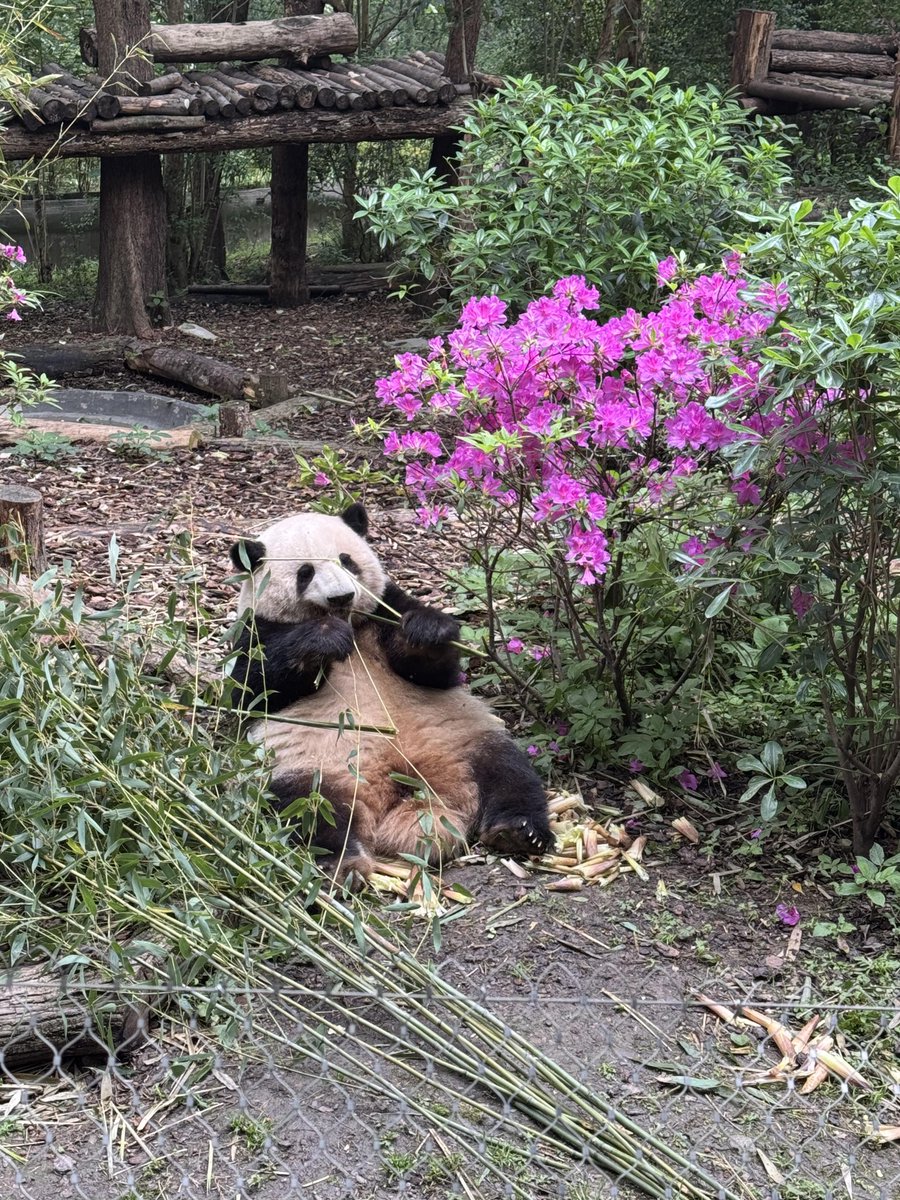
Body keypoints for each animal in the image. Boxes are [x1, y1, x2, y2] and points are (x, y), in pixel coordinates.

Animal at [229, 503, 553, 882]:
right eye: (305, 572)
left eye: (347, 561)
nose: (342, 596)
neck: (352, 624)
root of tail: (398, 785)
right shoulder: (255, 630)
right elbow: (253, 689)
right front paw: (324, 638)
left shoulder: (385, 607)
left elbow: (433, 672)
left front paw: (427, 630)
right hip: (305, 763)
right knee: (312, 808)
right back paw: (342, 864)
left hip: (465, 737)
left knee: (510, 773)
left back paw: (517, 831)